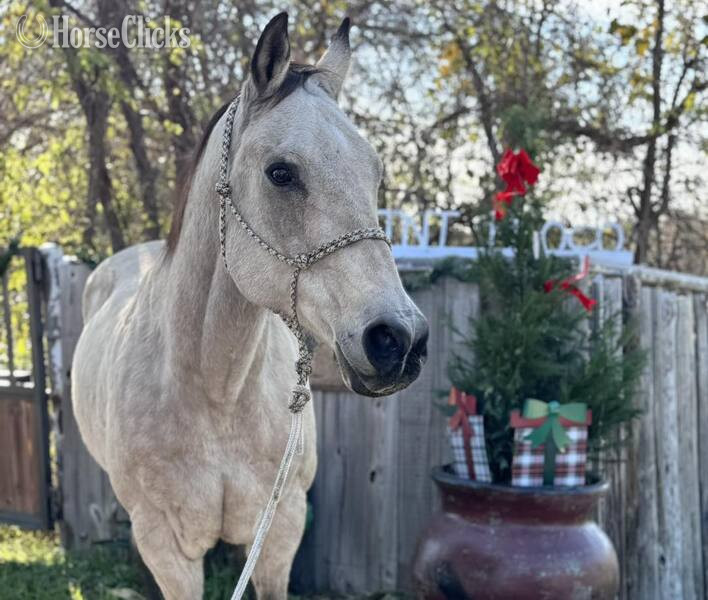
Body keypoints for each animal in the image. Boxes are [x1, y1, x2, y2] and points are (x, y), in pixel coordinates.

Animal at [72, 12, 428, 599]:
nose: (399, 340)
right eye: (281, 173)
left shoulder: (279, 531)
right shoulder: (169, 548)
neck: (215, 392)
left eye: (375, 173)